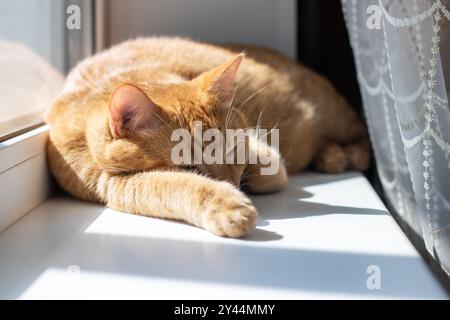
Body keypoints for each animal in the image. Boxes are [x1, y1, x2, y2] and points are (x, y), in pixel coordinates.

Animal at [45, 37, 370, 238]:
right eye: (191, 167)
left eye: (232, 153)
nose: (232, 184)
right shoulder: (113, 184)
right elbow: (175, 187)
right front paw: (228, 204)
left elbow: (271, 167)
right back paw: (330, 155)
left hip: (336, 114)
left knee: (362, 136)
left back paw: (341, 155)